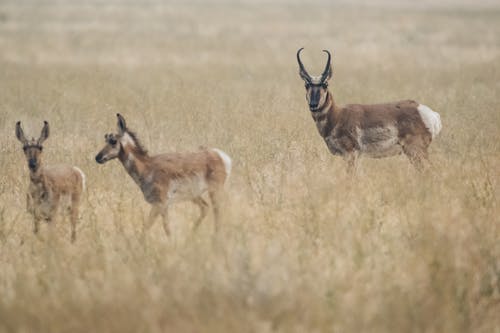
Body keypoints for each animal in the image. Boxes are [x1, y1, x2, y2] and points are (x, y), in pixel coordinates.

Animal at [94, 114, 231, 236]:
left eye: (113, 141)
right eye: (105, 138)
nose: (97, 157)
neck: (147, 166)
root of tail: (218, 154)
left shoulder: (161, 205)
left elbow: (163, 229)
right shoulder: (160, 206)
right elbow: (148, 228)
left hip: (214, 191)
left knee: (218, 214)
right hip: (195, 195)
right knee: (205, 208)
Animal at [296, 48, 442, 170]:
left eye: (325, 84)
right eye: (306, 85)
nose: (313, 105)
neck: (337, 115)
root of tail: (429, 113)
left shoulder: (351, 155)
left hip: (416, 152)